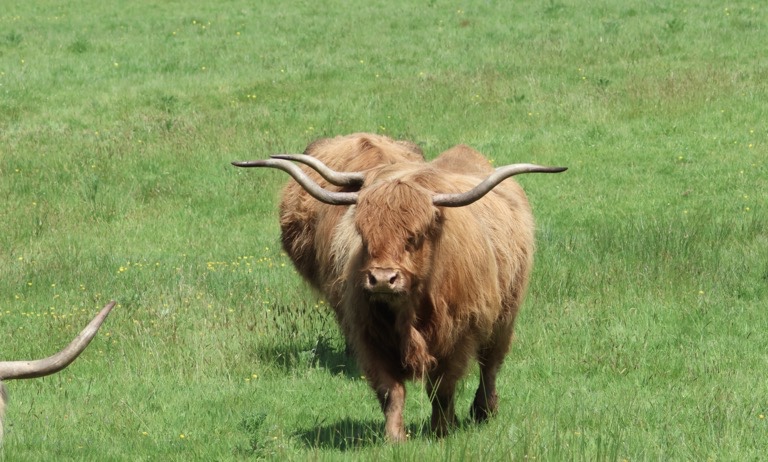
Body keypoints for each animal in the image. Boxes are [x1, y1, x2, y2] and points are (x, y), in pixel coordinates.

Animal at [233, 136, 565, 441]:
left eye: (414, 237)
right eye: (363, 233)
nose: (382, 279)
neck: (410, 308)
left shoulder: (459, 335)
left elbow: (442, 388)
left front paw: (441, 431)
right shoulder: (369, 336)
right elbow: (390, 391)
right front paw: (395, 439)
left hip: (505, 315)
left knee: (490, 364)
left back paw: (484, 411)